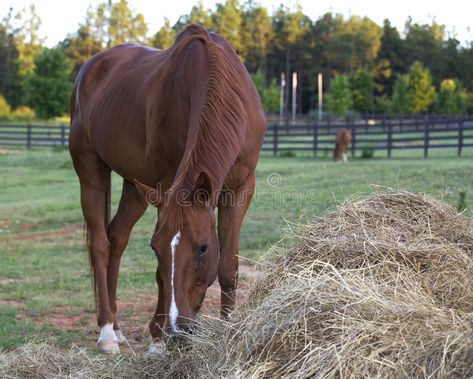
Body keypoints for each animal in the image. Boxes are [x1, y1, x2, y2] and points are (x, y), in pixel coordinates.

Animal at [68, 25, 266, 354]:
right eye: (154, 247)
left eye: (203, 247)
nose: (177, 328)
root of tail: (89, 68)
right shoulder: (165, 184)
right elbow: (161, 277)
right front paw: (158, 340)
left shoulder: (240, 188)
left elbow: (228, 266)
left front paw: (229, 331)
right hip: (90, 170)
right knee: (100, 244)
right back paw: (107, 332)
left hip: (135, 186)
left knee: (116, 238)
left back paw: (118, 329)